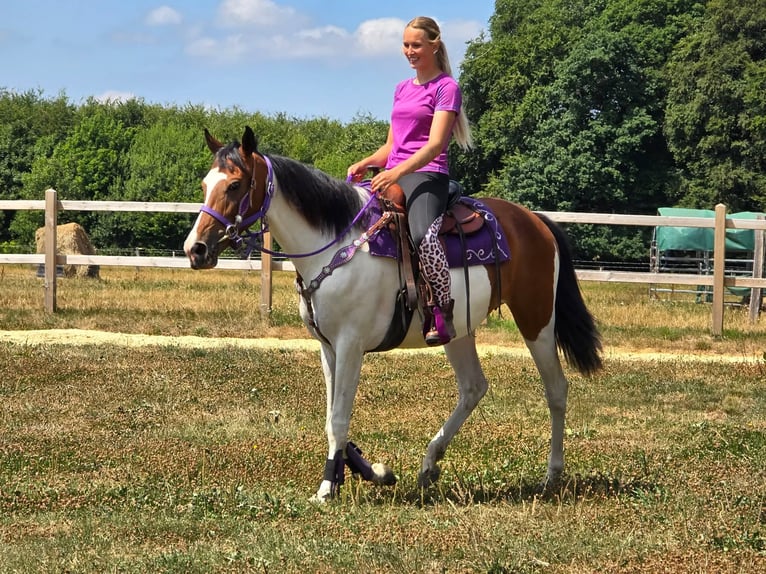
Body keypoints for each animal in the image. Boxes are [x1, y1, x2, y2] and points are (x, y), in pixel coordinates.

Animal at [184, 126, 603, 502]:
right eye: (205, 184)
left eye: (235, 185)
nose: (195, 249)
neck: (336, 243)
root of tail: (534, 220)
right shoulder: (327, 348)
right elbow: (332, 417)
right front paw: (372, 472)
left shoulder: (350, 345)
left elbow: (339, 418)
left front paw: (327, 488)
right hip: (457, 329)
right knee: (473, 387)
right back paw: (430, 464)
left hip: (536, 320)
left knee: (556, 389)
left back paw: (552, 475)